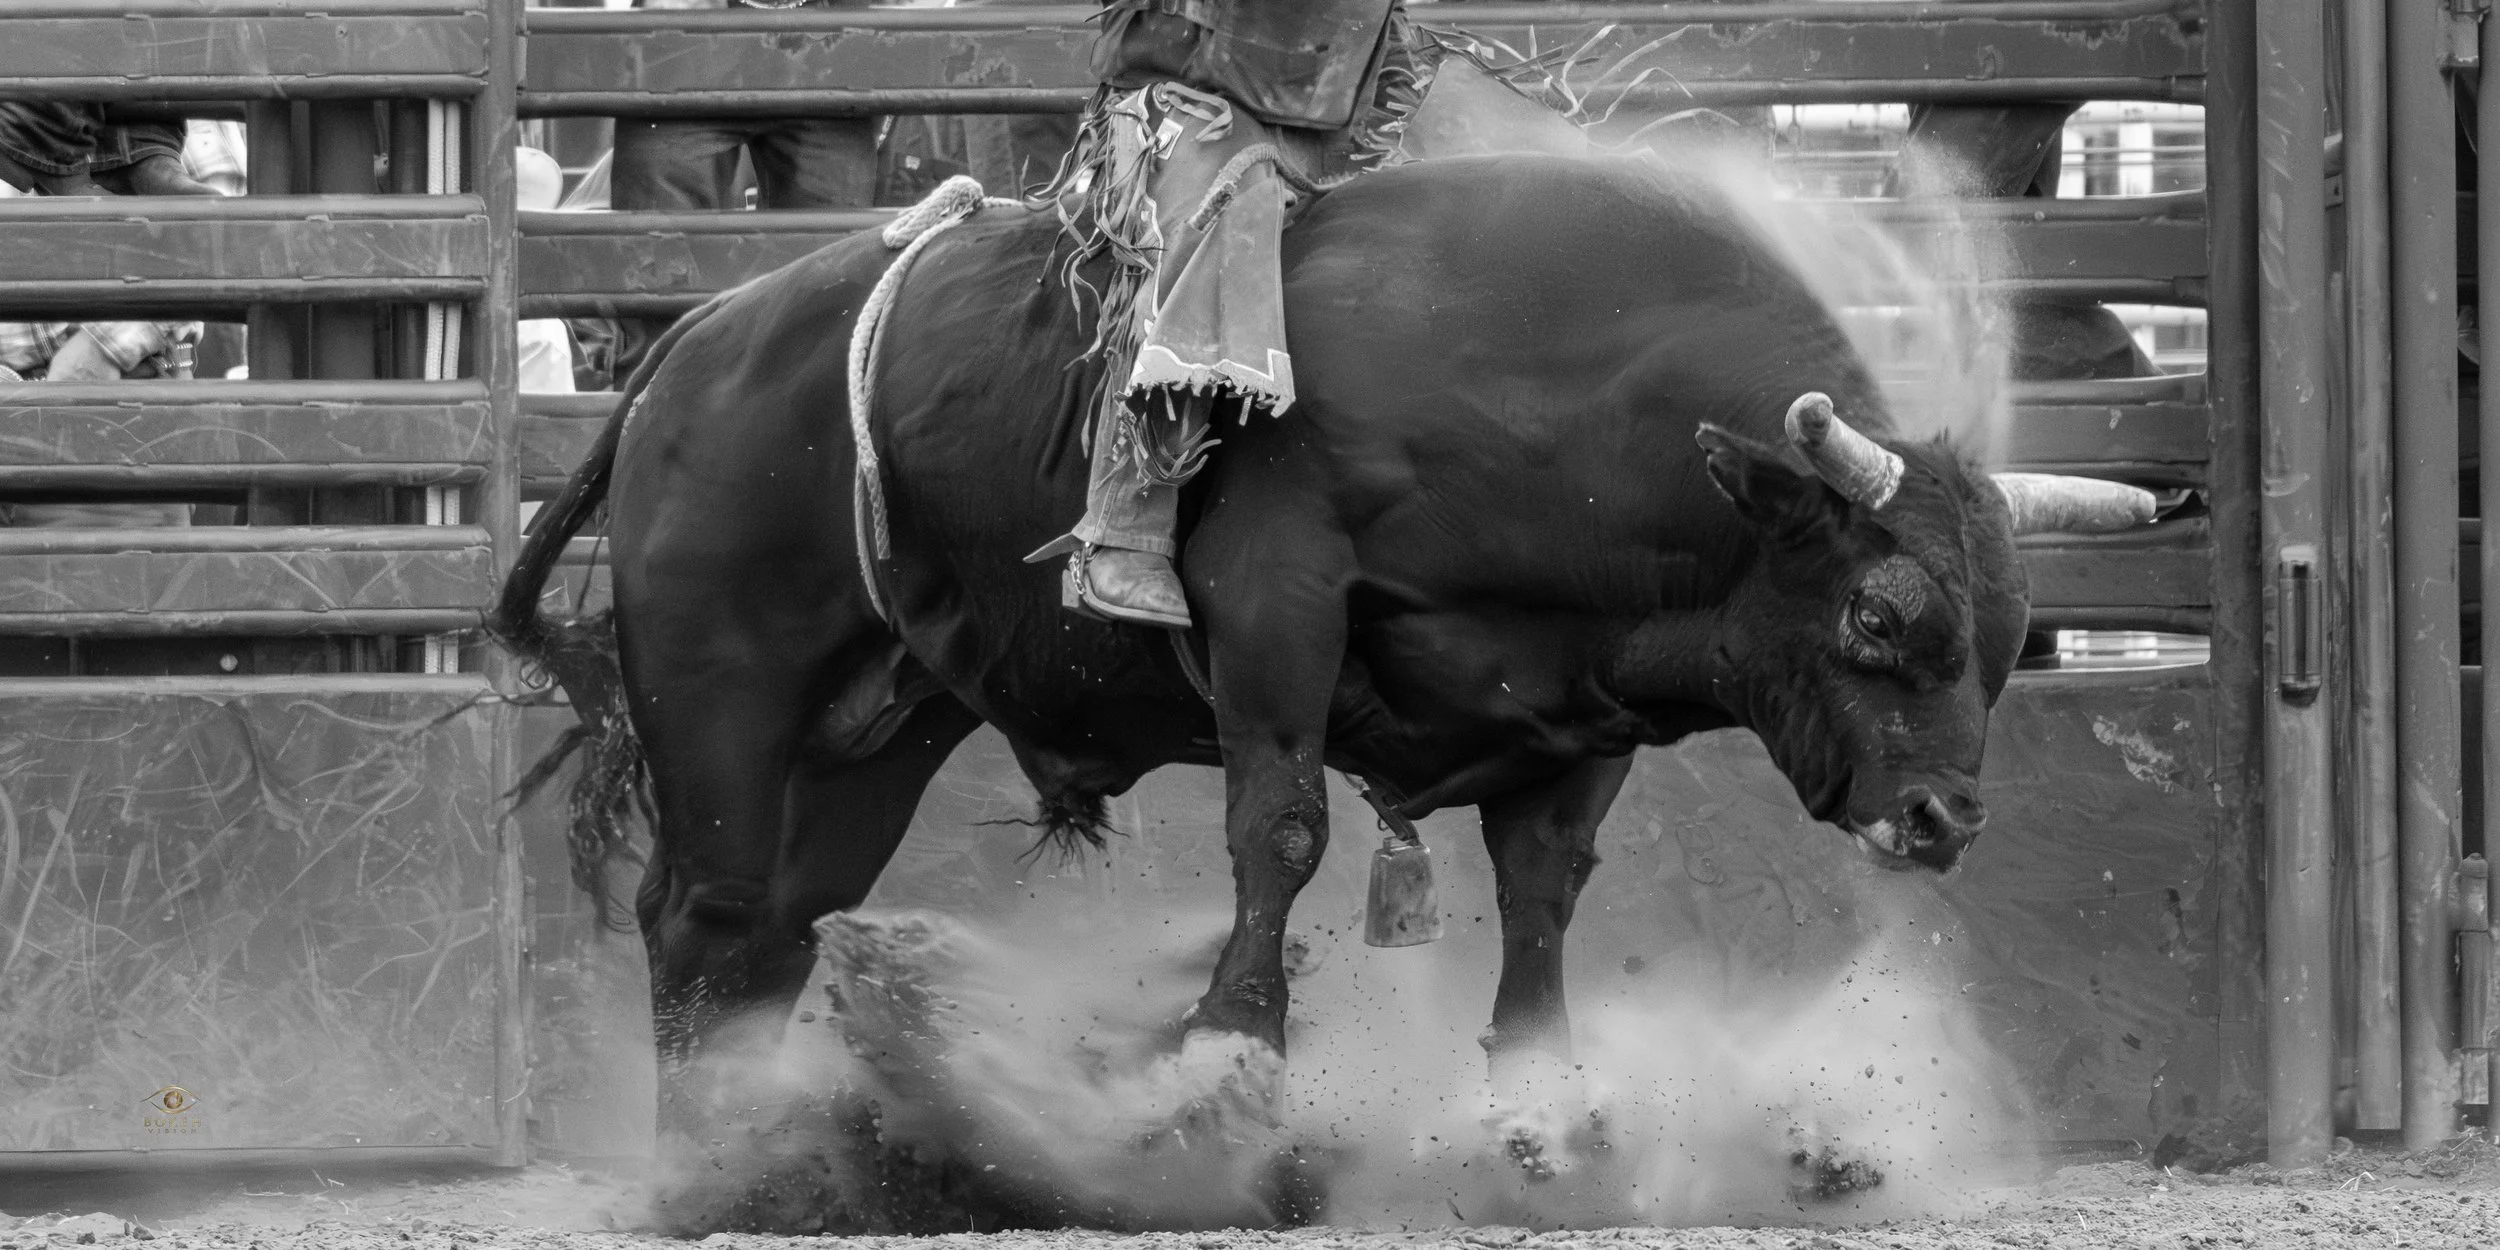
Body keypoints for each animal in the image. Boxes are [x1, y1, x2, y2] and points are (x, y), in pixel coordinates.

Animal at [493, 150, 2150, 1196]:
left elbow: (1543, 891)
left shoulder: (1578, 705)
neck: (1541, 374)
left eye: (2013, 637)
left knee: (774, 929)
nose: (1943, 819)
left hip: (867, 739)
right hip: (726, 702)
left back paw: (768, 1147)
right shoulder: (1275, 608)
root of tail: (688, 349)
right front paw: (1224, 1067)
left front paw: (1542, 1120)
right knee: (699, 916)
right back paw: (711, 1165)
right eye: (1878, 611)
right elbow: (1278, 834)